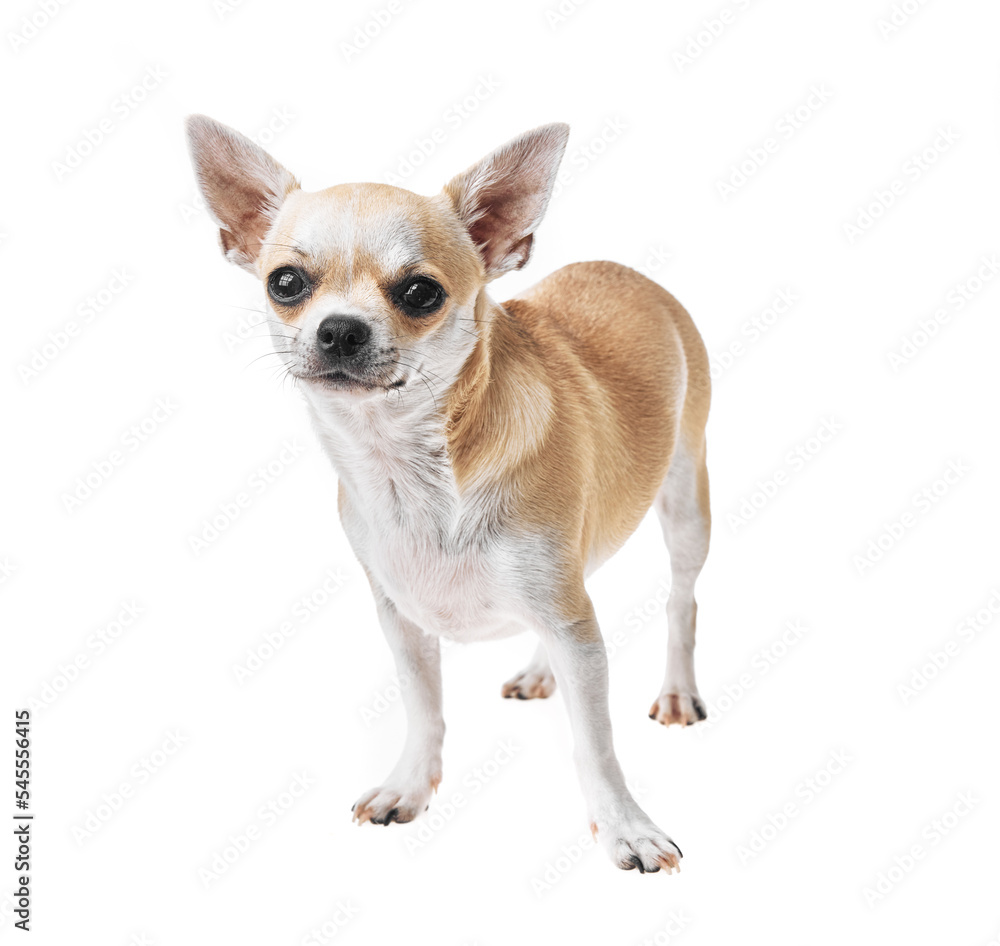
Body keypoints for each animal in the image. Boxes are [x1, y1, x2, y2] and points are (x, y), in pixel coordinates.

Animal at [186, 116, 712, 872]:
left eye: (420, 294)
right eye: (286, 283)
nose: (338, 327)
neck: (411, 469)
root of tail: (626, 271)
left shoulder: (573, 623)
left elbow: (596, 744)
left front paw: (625, 827)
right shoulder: (403, 620)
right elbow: (424, 709)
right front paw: (410, 786)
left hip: (686, 502)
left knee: (681, 601)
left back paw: (677, 690)